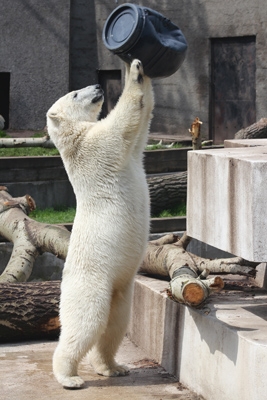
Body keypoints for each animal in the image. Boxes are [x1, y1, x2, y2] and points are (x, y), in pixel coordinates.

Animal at [47, 59, 154, 388]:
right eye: (74, 93)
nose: (96, 86)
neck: (71, 140)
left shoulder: (124, 150)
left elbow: (142, 126)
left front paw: (141, 71)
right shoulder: (94, 146)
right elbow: (122, 124)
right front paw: (135, 70)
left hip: (121, 286)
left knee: (116, 323)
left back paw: (112, 367)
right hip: (91, 282)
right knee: (86, 323)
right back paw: (69, 377)